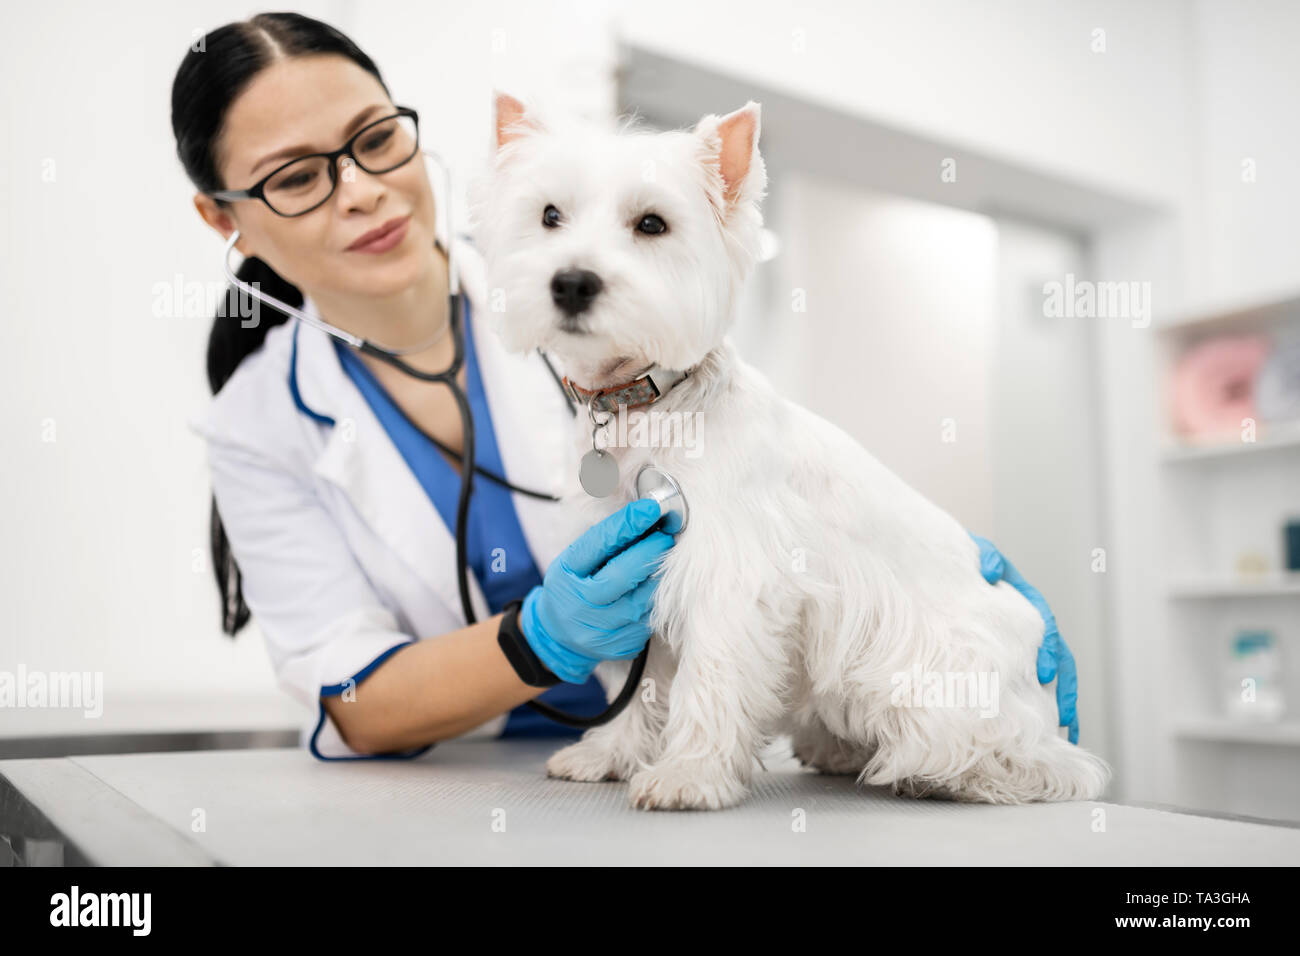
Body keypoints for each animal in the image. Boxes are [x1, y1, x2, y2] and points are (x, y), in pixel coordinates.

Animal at [473, 93, 1112, 811]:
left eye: (651, 224)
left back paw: (951, 773)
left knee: (1051, 764)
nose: (573, 283)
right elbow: (635, 685)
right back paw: (837, 748)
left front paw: (688, 774)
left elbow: (709, 676)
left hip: (949, 676)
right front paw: (609, 755)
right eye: (549, 215)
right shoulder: (621, 570)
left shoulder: (729, 572)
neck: (641, 407)